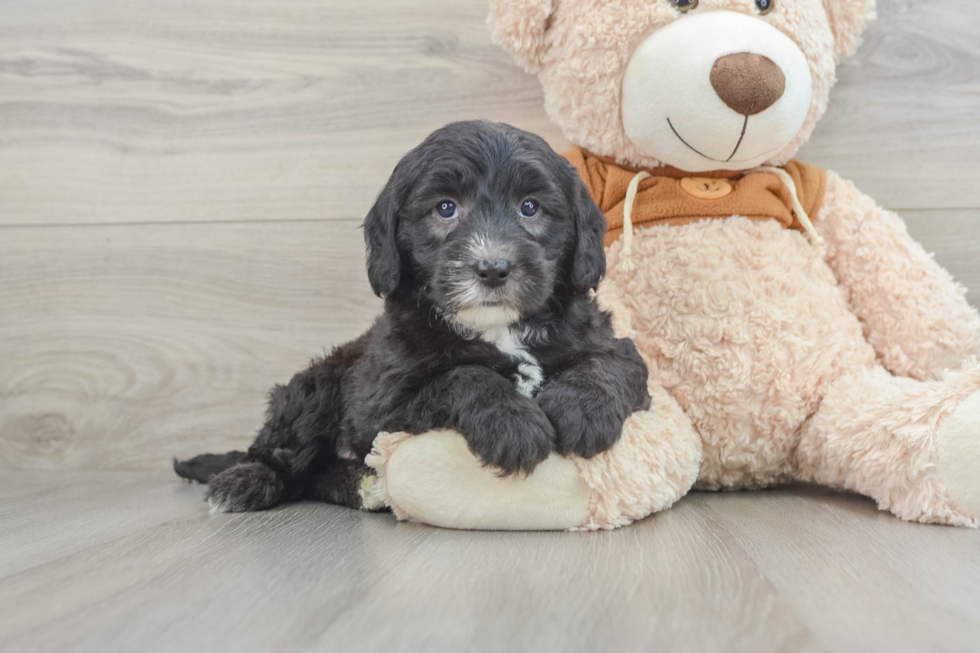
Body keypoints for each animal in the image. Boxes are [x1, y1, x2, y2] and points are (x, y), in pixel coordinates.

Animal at [174, 119, 652, 512]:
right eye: (445, 208)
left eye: (530, 207)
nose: (493, 268)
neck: (498, 328)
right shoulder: (382, 404)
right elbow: (462, 377)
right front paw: (513, 424)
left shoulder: (606, 341)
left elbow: (610, 364)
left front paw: (582, 412)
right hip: (313, 389)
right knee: (282, 456)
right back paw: (245, 481)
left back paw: (359, 486)